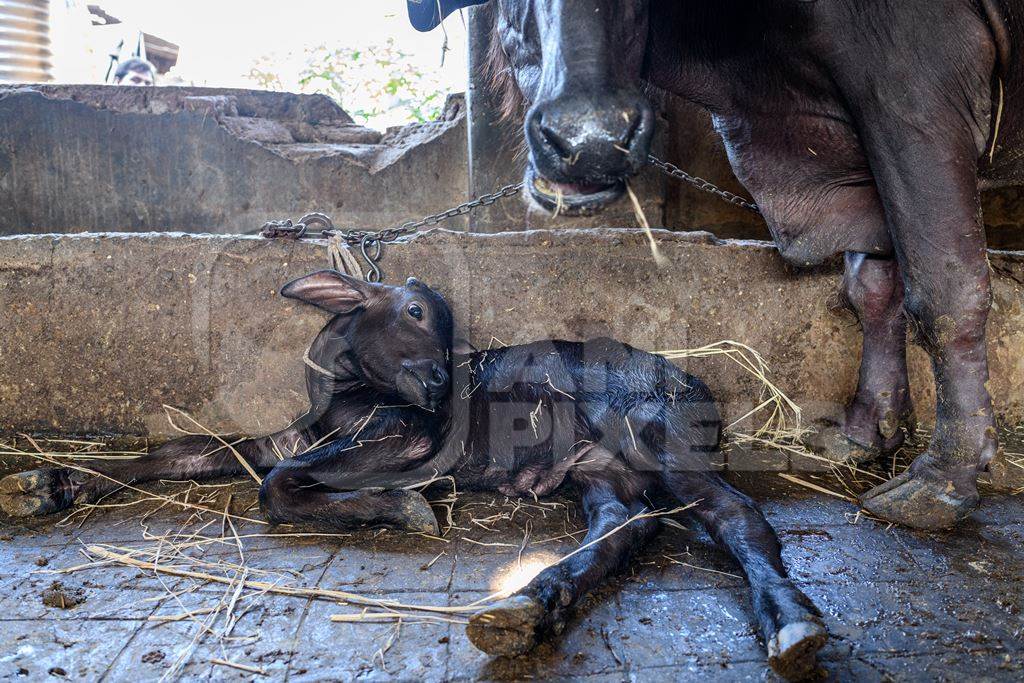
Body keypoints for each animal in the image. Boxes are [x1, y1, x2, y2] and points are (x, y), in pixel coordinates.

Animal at [0, 270, 827, 679]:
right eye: (416, 313)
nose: (439, 387)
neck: (343, 393)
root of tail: (697, 384)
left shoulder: (404, 434)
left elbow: (280, 484)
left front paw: (402, 507)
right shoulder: (296, 434)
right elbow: (192, 450)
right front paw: (47, 483)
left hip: (652, 431)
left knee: (734, 514)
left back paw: (791, 619)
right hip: (597, 468)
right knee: (624, 530)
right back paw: (529, 605)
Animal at [411, 0, 1019, 532]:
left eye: (631, 7)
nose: (592, 140)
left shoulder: (913, 100)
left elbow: (943, 288)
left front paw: (941, 480)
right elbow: (872, 287)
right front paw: (864, 434)